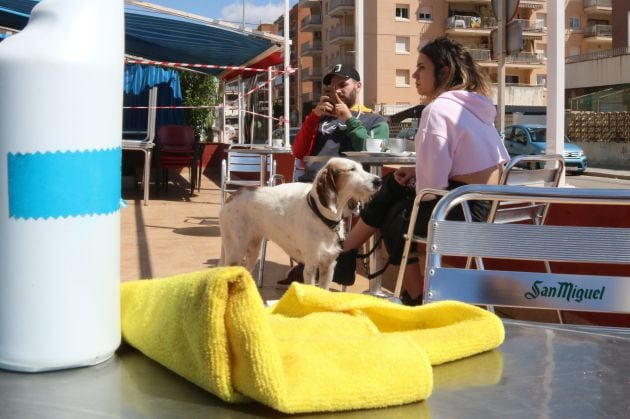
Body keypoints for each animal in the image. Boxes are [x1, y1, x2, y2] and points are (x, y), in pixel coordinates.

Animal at [220, 156, 382, 290]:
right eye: (352, 169)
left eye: (362, 168)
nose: (379, 181)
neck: (323, 216)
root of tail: (234, 195)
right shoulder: (311, 266)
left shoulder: (328, 266)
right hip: (235, 250)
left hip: (253, 250)